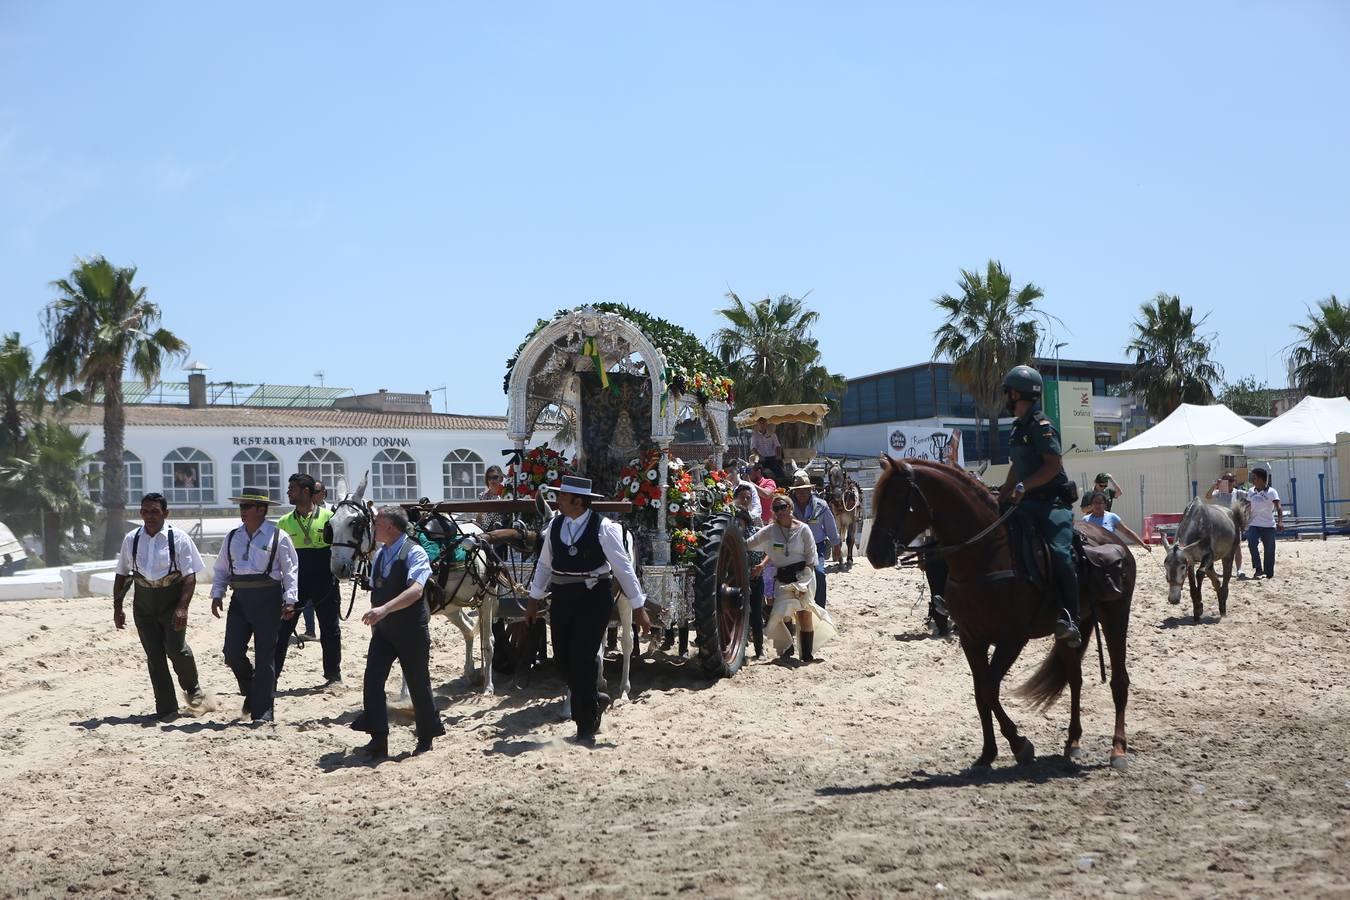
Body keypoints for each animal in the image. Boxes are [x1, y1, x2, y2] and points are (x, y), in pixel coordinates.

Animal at [858, 461, 1134, 771]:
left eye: (897, 499)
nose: (874, 553)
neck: (985, 554)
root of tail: (1116, 542)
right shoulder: (971, 639)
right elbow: (980, 693)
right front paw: (987, 753)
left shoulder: (1012, 639)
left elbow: (989, 688)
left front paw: (1020, 744)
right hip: (1070, 630)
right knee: (1074, 678)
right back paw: (1072, 742)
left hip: (1116, 616)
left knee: (1119, 681)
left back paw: (1118, 750)